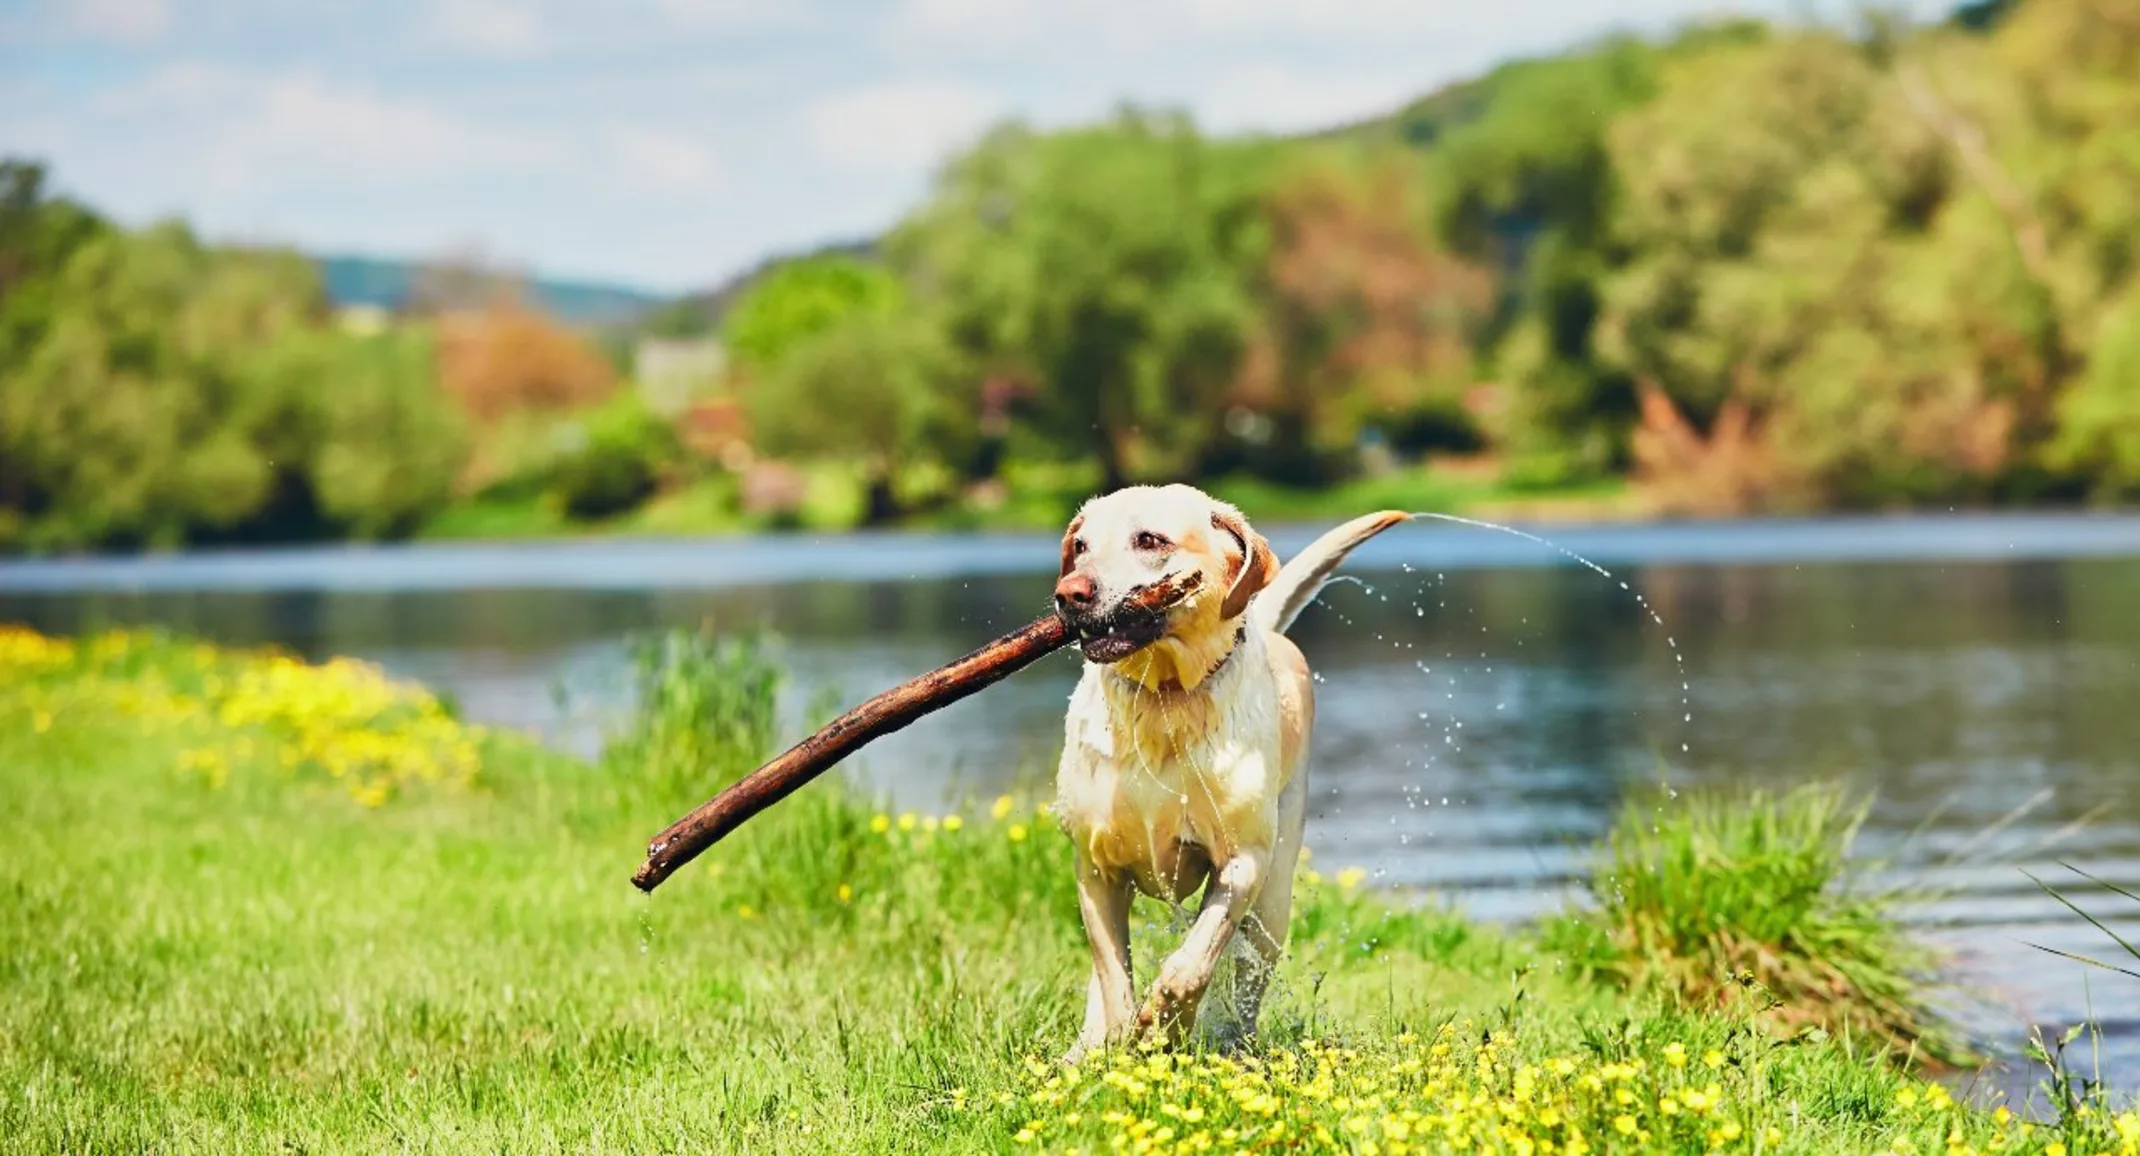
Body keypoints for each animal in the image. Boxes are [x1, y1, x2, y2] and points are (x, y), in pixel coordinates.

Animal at [1048, 483, 1412, 1061]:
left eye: (1149, 540)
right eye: (1079, 547)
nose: (1070, 593)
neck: (1166, 699)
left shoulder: (1243, 862)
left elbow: (1193, 963)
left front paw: (1168, 1024)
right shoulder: (1096, 868)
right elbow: (1113, 979)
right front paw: (1118, 1042)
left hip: (1274, 898)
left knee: (1246, 975)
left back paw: (1234, 1044)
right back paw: (1083, 1050)